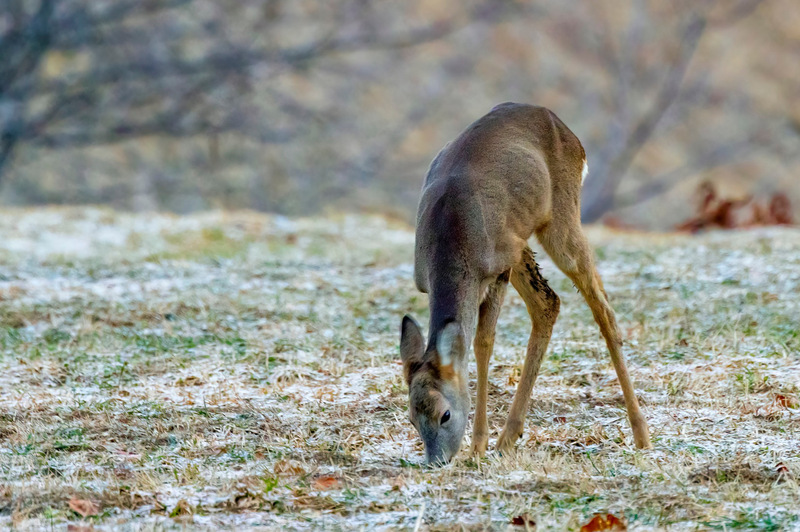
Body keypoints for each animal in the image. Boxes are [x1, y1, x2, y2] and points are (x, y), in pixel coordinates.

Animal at [400, 101, 648, 466]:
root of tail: (567, 131)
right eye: (412, 418)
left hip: (558, 221)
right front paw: (485, 444)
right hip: (521, 240)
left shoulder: (497, 267)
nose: (436, 461)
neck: (451, 242)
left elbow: (483, 342)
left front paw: (477, 446)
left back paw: (642, 435)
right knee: (550, 302)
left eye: (445, 414)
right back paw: (509, 437)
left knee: (601, 307)